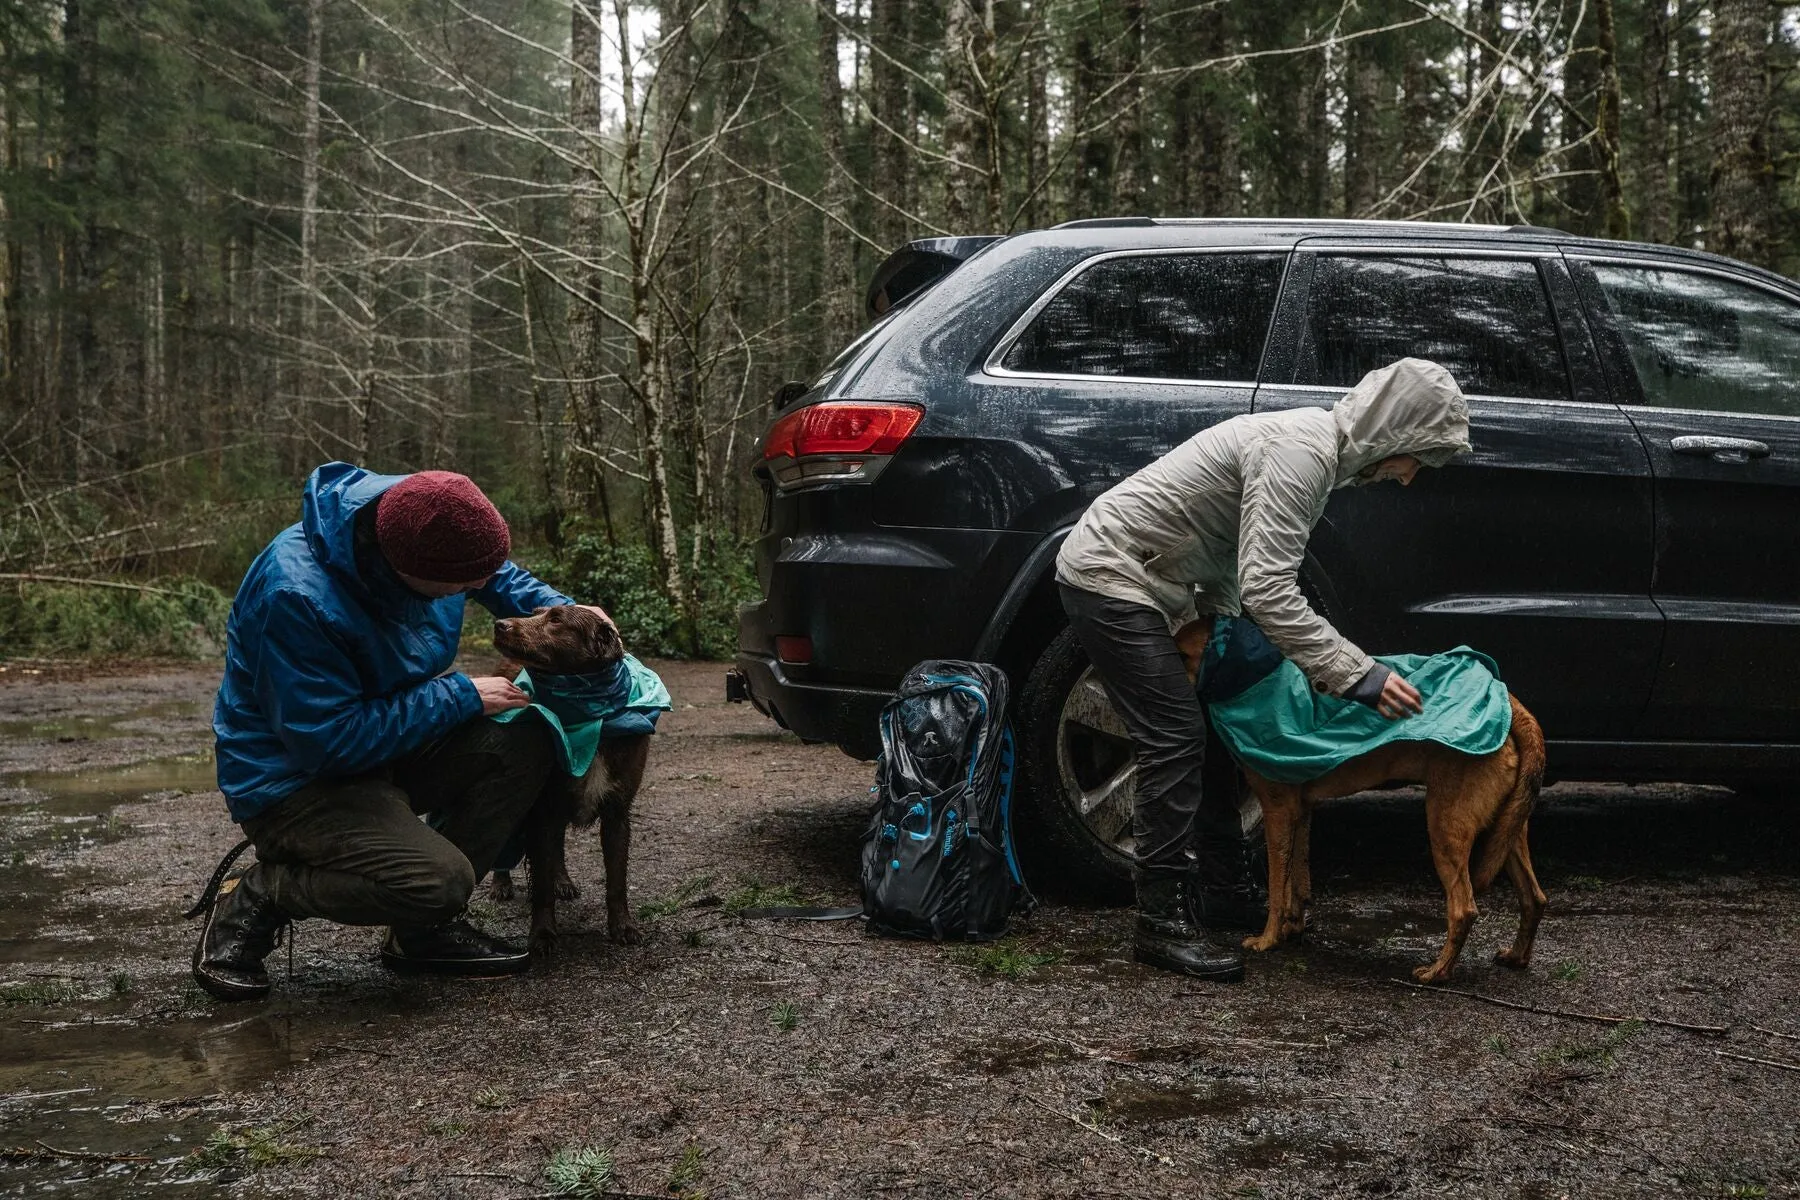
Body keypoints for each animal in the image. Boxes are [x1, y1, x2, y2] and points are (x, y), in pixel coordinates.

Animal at [493, 611, 655, 957]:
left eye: (555, 619)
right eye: (536, 611)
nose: (499, 624)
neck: (594, 717)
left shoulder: (617, 813)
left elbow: (616, 880)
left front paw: (623, 927)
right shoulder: (542, 809)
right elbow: (540, 884)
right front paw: (542, 935)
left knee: (557, 845)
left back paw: (563, 881)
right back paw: (501, 884)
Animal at [1180, 618, 1548, 985]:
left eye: (1182, 656)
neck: (1251, 675)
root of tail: (1510, 703)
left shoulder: (1278, 811)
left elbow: (1277, 887)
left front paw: (1268, 939)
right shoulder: (1300, 811)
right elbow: (1298, 879)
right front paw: (1293, 927)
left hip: (1445, 827)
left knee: (1464, 909)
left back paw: (1437, 972)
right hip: (1507, 830)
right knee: (1534, 898)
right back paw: (1515, 956)